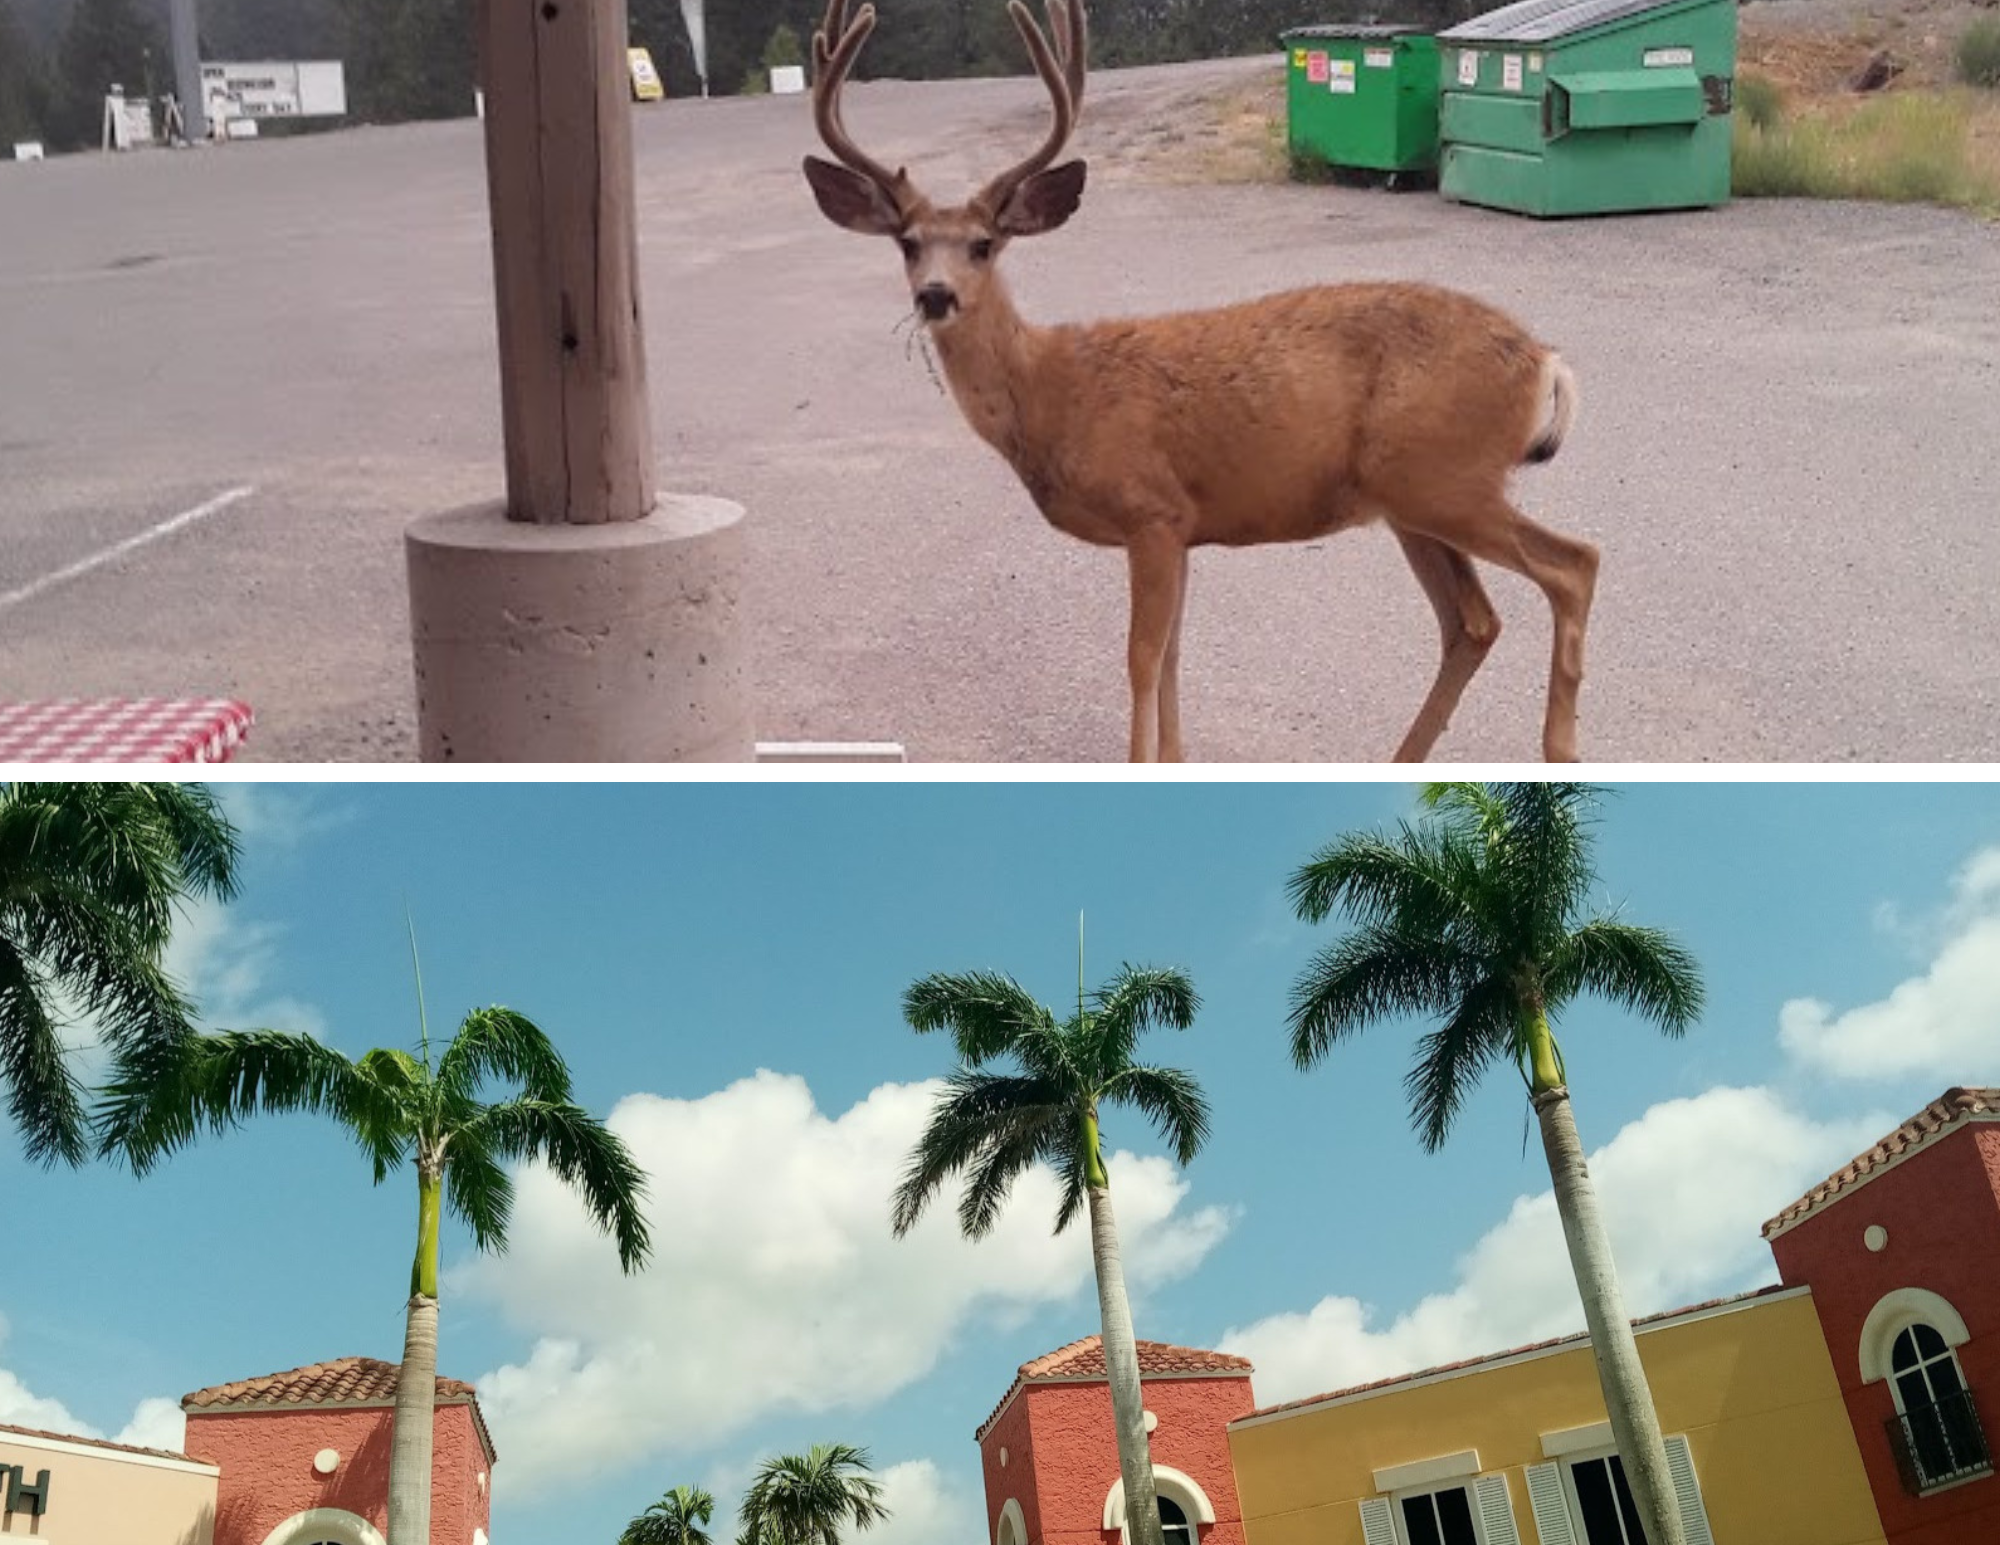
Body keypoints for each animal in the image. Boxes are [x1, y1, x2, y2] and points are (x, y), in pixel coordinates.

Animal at [801, 0, 1600, 762]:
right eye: (908, 244)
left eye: (982, 244)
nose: (935, 295)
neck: (1052, 394)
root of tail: (1545, 359)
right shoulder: (1185, 527)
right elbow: (1174, 660)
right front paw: (1176, 758)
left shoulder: (1151, 510)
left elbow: (1141, 659)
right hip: (1411, 497)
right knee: (1473, 621)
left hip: (1442, 477)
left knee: (1573, 565)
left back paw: (1559, 748)